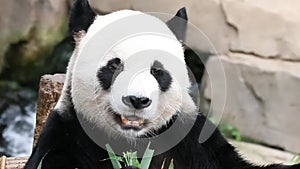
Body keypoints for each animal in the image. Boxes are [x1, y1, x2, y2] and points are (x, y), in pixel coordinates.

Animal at [25, 0, 300, 169]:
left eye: (157, 71)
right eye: (115, 66)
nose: (137, 100)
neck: (132, 141)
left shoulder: (191, 139)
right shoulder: (70, 133)